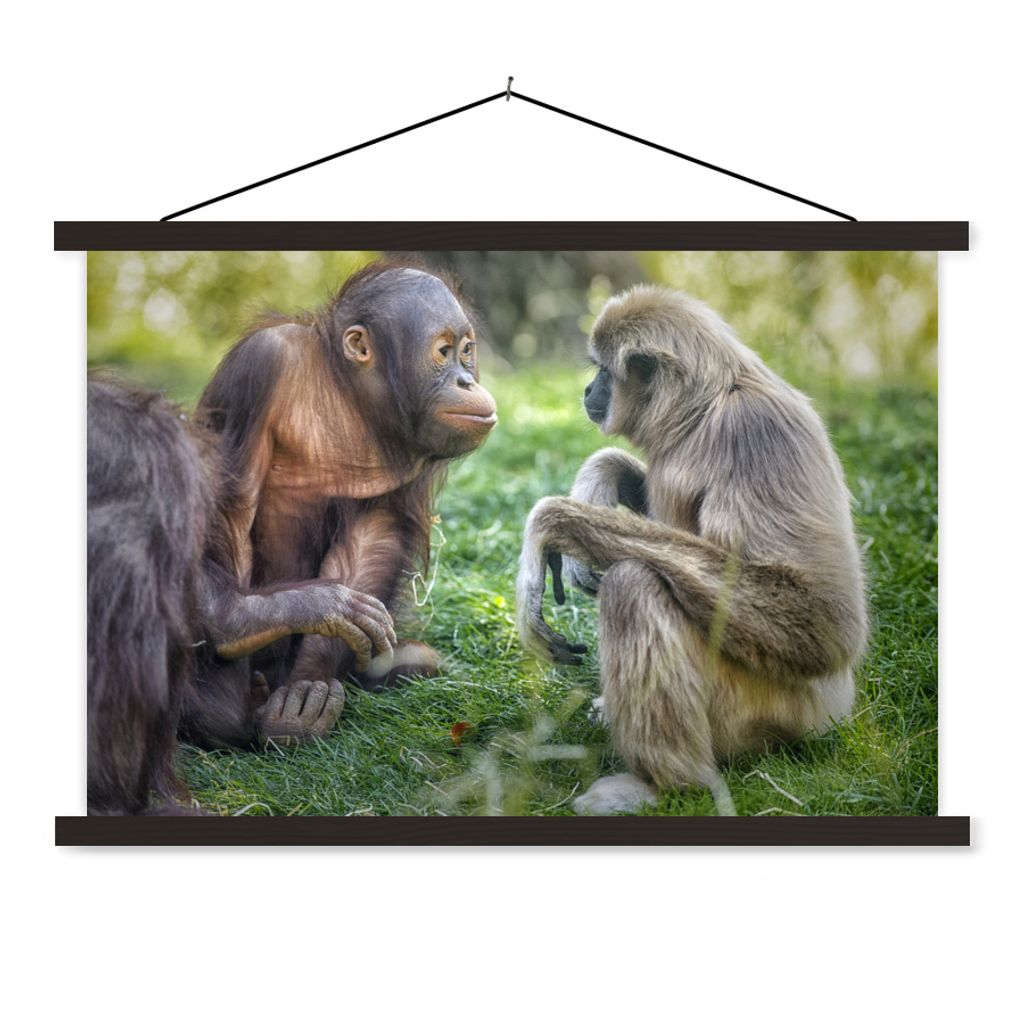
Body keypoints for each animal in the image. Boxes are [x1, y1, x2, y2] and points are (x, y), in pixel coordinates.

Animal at [516, 286, 867, 815]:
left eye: (603, 371)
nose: (588, 389)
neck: (705, 411)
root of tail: (833, 710)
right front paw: (599, 477)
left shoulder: (755, 432)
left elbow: (823, 619)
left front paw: (554, 522)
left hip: (765, 707)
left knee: (634, 583)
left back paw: (667, 785)